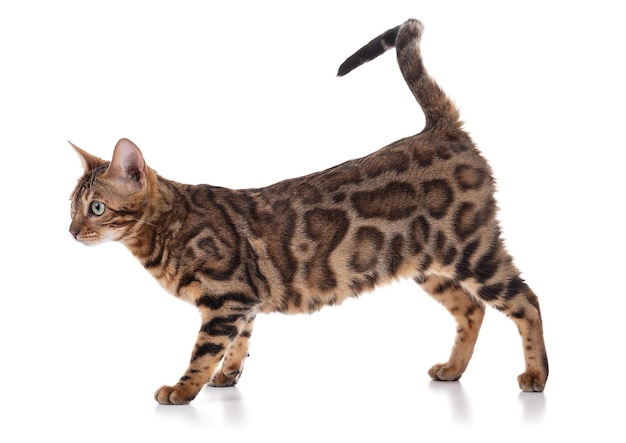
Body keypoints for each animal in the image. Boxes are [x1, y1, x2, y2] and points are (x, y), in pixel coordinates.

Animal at [68, 19, 544, 404]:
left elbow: (203, 352)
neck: (168, 227)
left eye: (96, 208)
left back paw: (537, 375)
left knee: (527, 299)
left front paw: (182, 389)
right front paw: (228, 376)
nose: (71, 232)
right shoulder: (245, 302)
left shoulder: (226, 298)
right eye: (71, 208)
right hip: (427, 264)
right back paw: (453, 369)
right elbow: (239, 344)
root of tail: (441, 128)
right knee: (472, 309)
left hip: (473, 249)